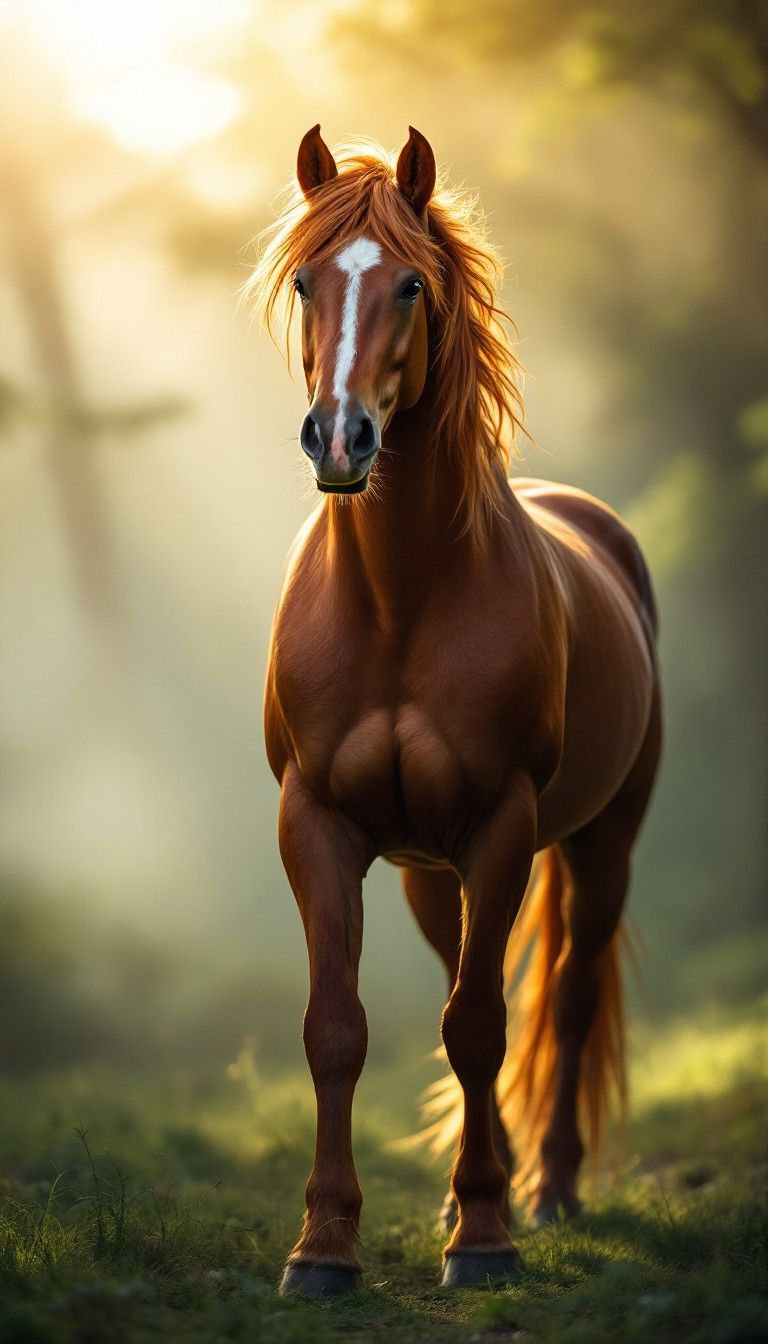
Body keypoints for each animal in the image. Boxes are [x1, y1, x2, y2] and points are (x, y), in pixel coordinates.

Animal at [254, 125, 662, 1296]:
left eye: (409, 285)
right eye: (305, 281)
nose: (339, 439)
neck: (400, 602)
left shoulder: (501, 825)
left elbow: (482, 1024)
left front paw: (484, 1239)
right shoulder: (317, 826)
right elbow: (338, 1028)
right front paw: (324, 1247)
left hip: (600, 842)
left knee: (564, 997)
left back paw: (551, 1190)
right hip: (428, 872)